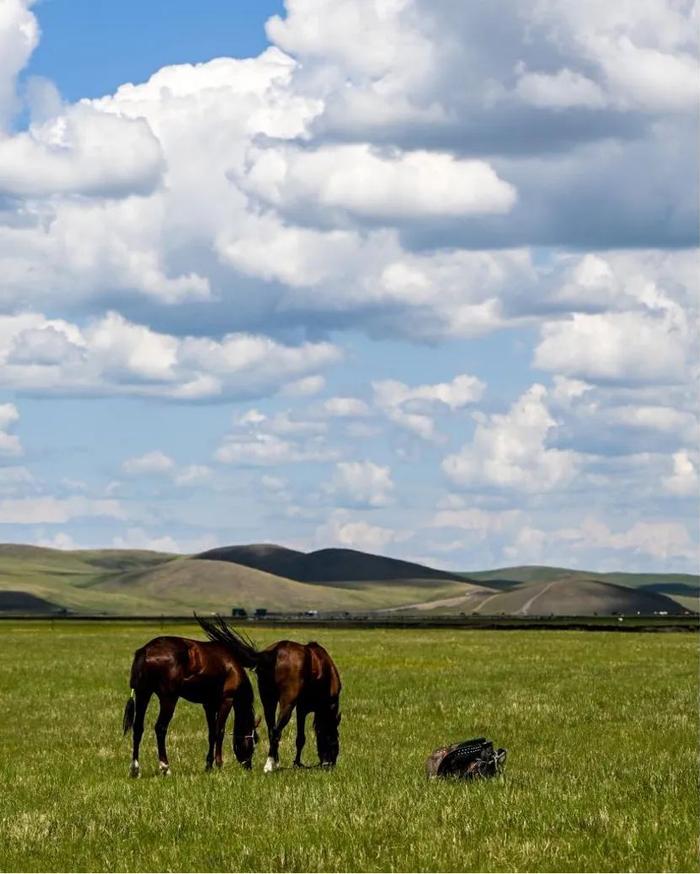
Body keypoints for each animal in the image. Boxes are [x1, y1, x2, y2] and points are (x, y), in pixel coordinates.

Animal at [123, 632, 260, 776]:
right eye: (255, 740)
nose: (248, 766)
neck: (231, 666)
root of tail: (146, 650)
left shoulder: (209, 704)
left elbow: (211, 734)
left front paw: (209, 766)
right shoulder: (227, 700)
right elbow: (219, 732)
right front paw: (219, 765)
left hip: (143, 694)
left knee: (138, 728)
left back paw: (135, 769)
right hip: (168, 699)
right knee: (160, 728)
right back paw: (165, 767)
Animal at [197, 612, 342, 768]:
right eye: (334, 742)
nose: (329, 763)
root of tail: (273, 654)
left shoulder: (301, 709)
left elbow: (300, 738)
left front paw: (296, 763)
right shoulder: (303, 708)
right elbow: (301, 737)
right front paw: (297, 763)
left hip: (268, 700)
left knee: (271, 729)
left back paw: (275, 761)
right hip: (287, 703)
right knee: (276, 730)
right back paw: (270, 764)